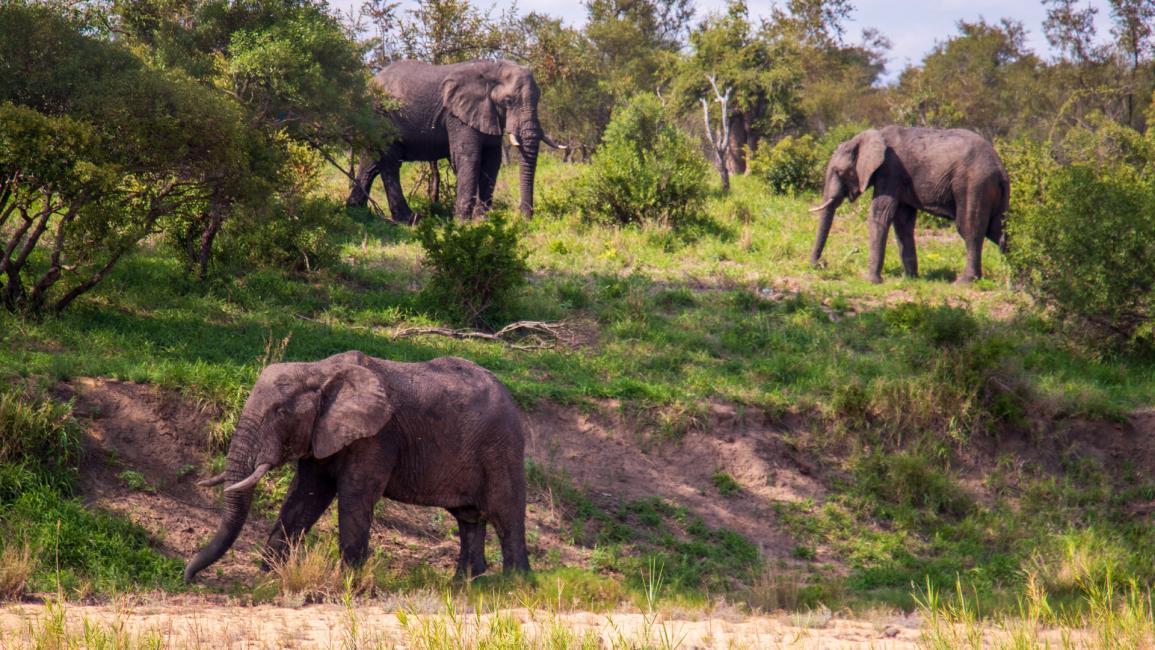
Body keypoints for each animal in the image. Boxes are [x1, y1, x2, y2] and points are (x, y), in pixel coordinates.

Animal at [184, 350, 531, 584]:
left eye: (280, 411)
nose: (189, 578)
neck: (319, 370)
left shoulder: (376, 435)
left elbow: (354, 496)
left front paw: (348, 583)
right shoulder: (323, 432)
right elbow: (305, 496)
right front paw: (268, 577)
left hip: (502, 448)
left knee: (505, 513)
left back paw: (515, 584)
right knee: (468, 517)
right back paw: (466, 585)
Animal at [341, 61, 559, 223]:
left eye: (538, 98)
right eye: (508, 101)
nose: (525, 218)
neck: (494, 69)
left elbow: (492, 161)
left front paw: (482, 221)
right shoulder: (457, 116)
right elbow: (469, 158)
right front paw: (462, 224)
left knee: (371, 162)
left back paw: (355, 211)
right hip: (383, 115)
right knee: (390, 162)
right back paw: (410, 219)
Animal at [803, 125, 1011, 284]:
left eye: (839, 172)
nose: (821, 265)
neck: (870, 136)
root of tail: (1000, 168)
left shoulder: (890, 171)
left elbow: (881, 214)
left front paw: (872, 281)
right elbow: (902, 222)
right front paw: (910, 279)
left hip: (973, 184)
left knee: (970, 228)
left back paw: (964, 282)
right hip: (989, 190)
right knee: (998, 229)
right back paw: (1014, 280)